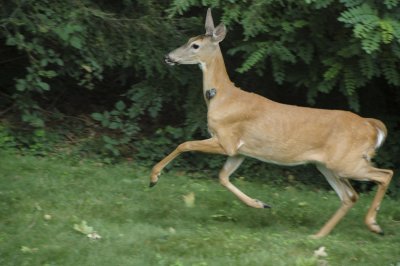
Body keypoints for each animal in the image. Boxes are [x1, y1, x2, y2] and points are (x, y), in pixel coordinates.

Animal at [149, 8, 390, 238]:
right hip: (329, 165)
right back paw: (318, 236)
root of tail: (372, 125)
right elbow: (222, 177)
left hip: (346, 162)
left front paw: (153, 177)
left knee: (384, 175)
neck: (223, 96)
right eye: (188, 39)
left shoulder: (226, 140)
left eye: (195, 45)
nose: (167, 56)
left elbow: (185, 144)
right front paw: (260, 204)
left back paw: (373, 225)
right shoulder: (239, 151)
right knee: (350, 196)